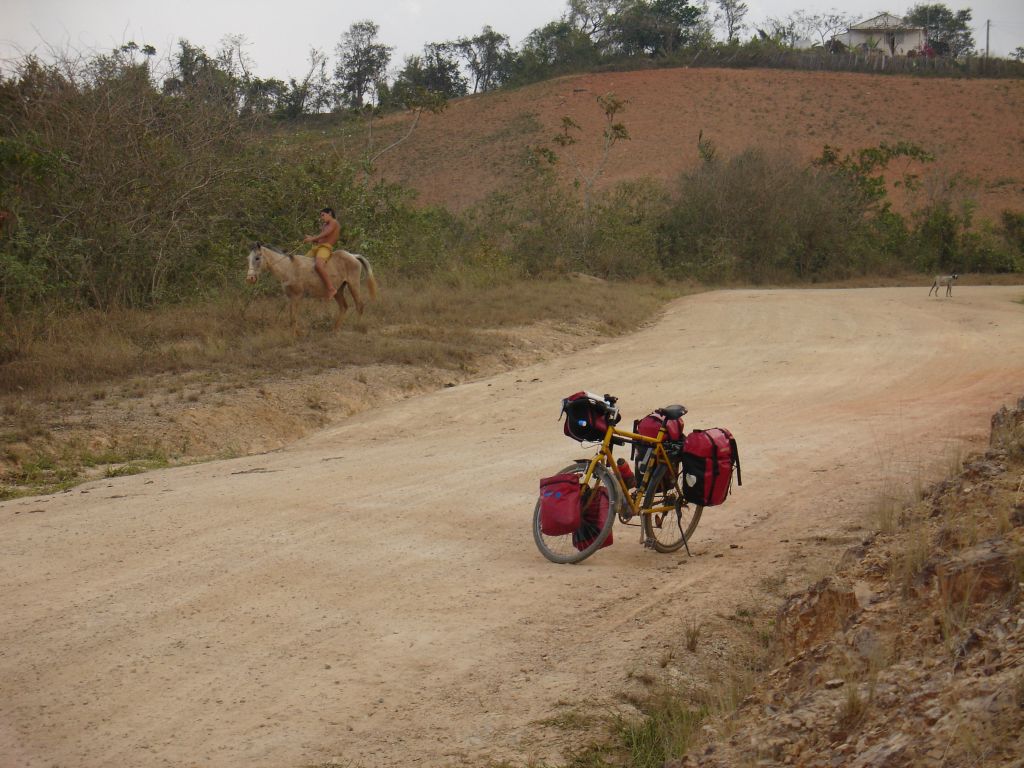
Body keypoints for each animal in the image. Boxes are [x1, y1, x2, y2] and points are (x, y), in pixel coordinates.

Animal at [247, 243, 380, 333]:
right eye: (248, 259)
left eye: (257, 258)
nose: (250, 278)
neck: (289, 268)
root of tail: (352, 255)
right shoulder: (291, 298)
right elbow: (291, 317)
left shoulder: (297, 297)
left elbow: (293, 318)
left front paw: (295, 336)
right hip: (338, 290)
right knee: (343, 307)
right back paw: (335, 329)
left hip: (353, 285)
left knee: (359, 305)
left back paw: (357, 327)